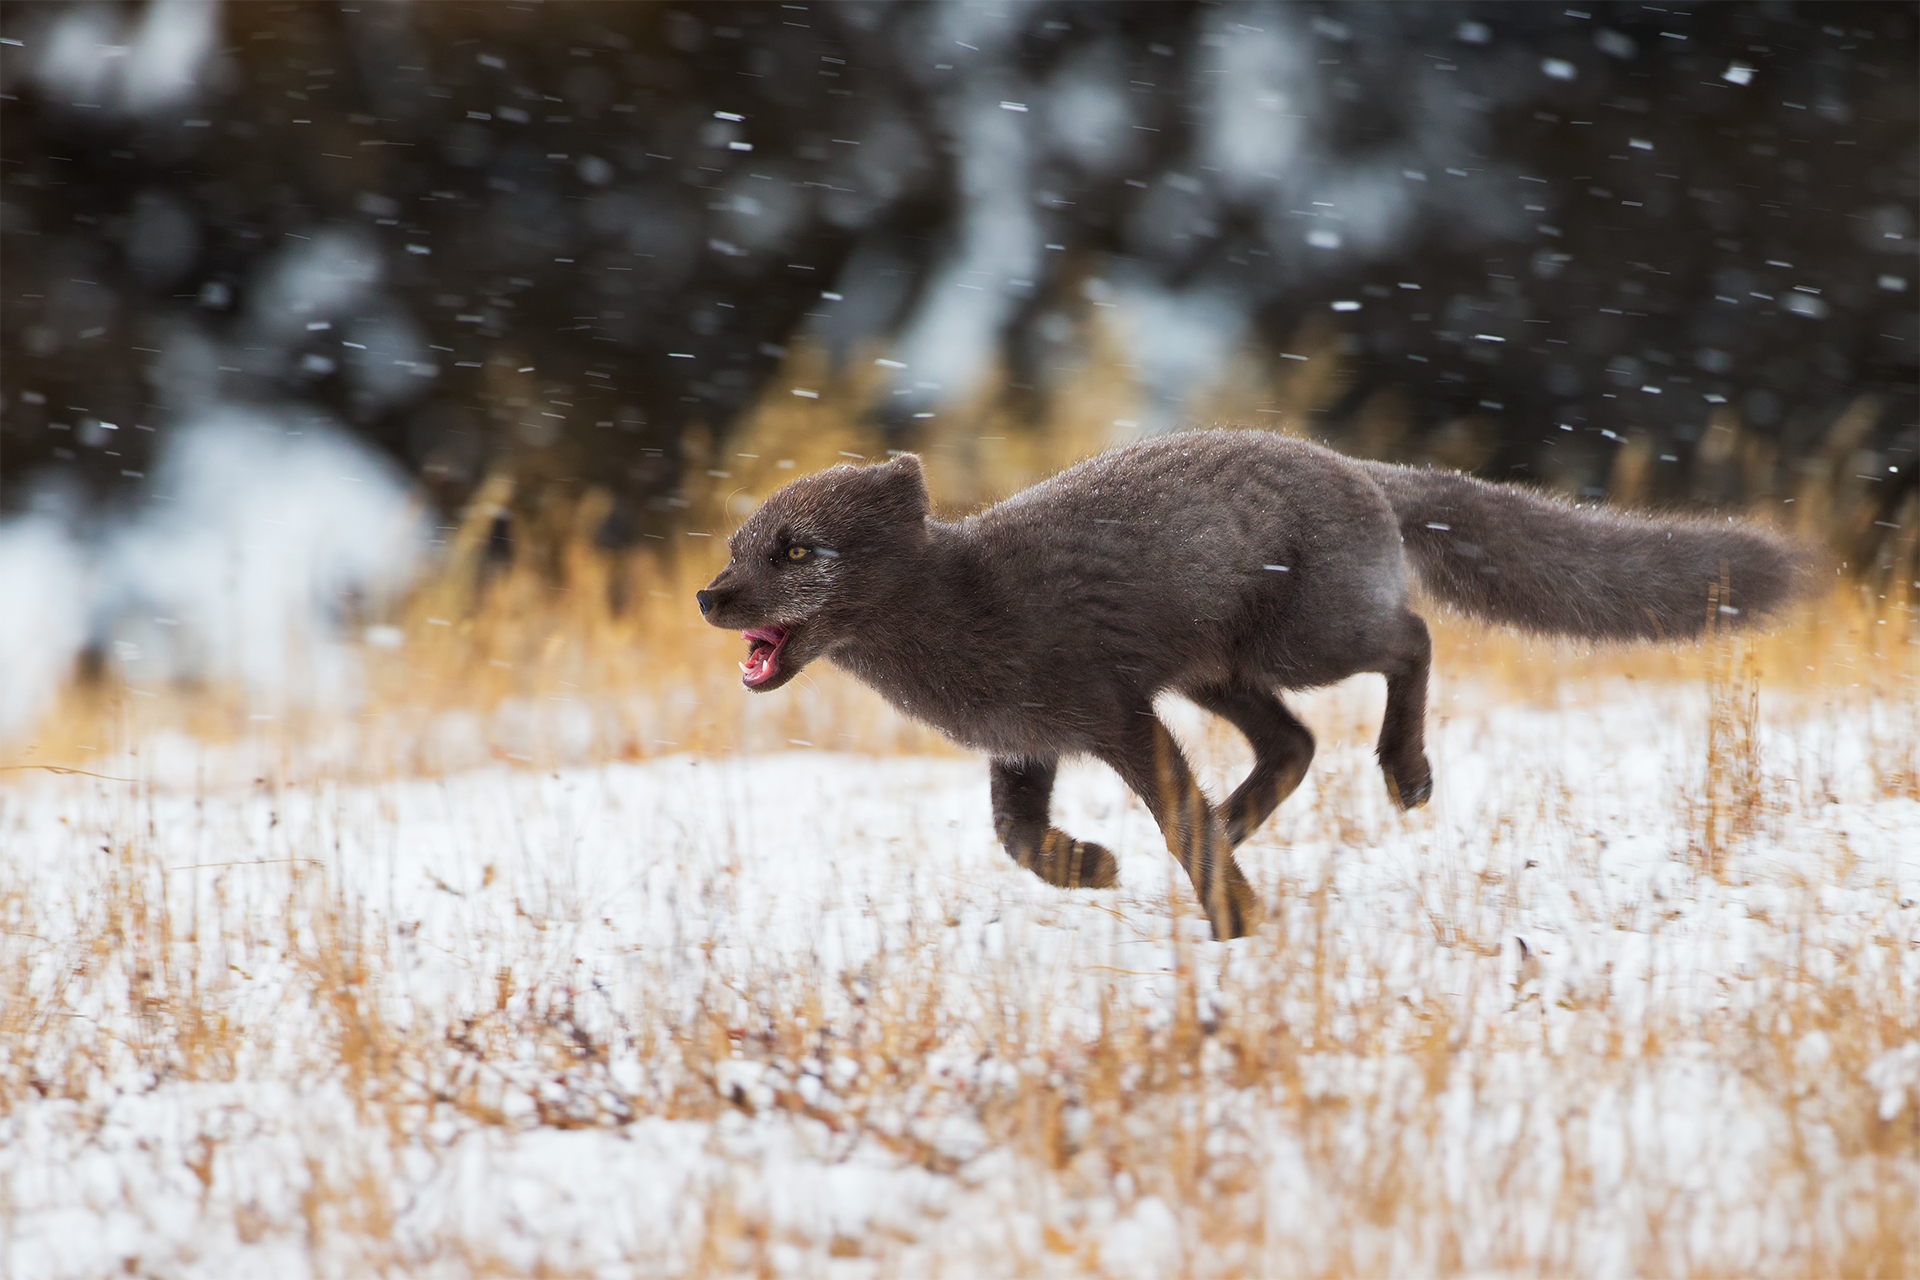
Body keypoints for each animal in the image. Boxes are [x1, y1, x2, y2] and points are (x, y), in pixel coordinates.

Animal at [696, 430, 1809, 941]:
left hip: (1300, 645)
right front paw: (1095, 867)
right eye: (738, 545)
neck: (962, 613)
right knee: (1295, 745)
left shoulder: (1116, 712)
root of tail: (1359, 463)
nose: (709, 597)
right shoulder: (1028, 742)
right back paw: (1246, 825)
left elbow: (1172, 814)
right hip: (1221, 677)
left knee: (1408, 641)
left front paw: (1233, 923)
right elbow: (1017, 839)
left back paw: (1406, 772)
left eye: (799, 550)